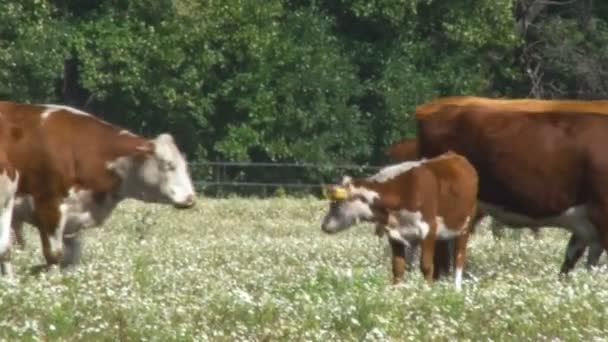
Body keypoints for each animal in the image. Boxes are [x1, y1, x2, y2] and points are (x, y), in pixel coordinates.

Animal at [0, 100, 197, 276]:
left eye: (185, 166)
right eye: (168, 165)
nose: (190, 199)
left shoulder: (74, 217)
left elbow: (71, 259)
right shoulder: (49, 207)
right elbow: (54, 256)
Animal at [320, 152, 478, 288]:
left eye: (336, 203)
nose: (324, 226)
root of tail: (455, 156)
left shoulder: (428, 230)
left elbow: (426, 267)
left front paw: (428, 292)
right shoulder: (395, 235)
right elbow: (398, 268)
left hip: (464, 227)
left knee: (459, 258)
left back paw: (456, 289)